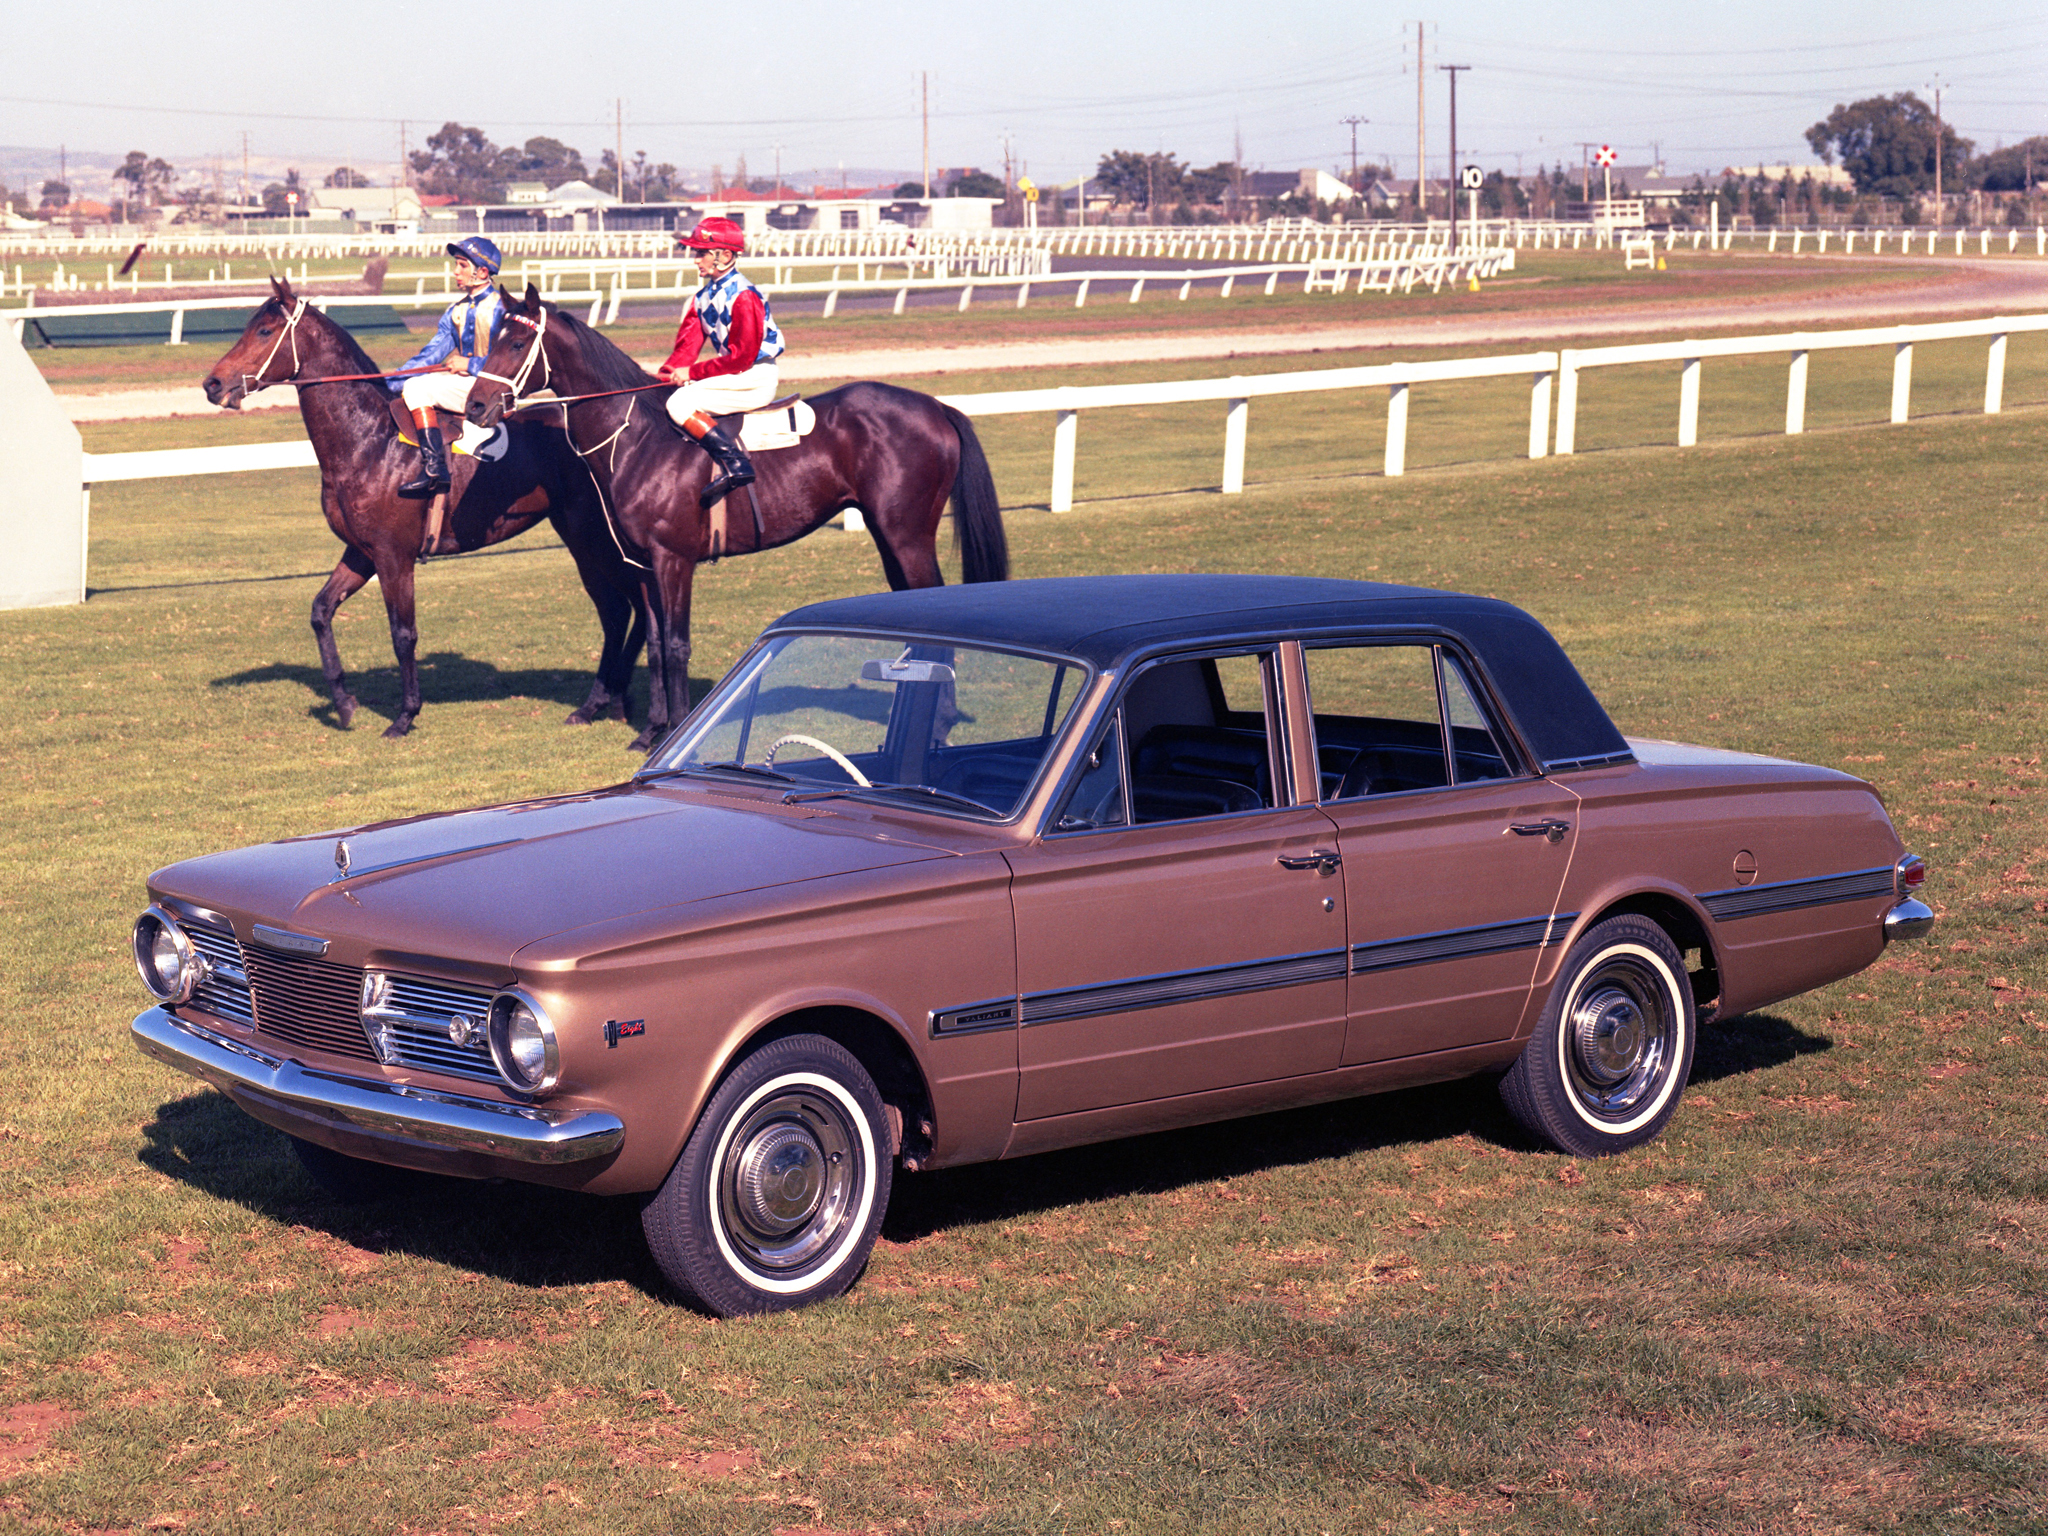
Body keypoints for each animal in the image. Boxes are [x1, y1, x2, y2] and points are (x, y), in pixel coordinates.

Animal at [197, 280, 647, 741]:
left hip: (590, 537)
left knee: (620, 610)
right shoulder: (362, 551)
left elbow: (403, 634)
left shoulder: (394, 556)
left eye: (265, 331)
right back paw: (615, 699)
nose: (212, 383)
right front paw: (344, 703)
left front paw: (405, 715)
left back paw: (600, 701)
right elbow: (321, 611)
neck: (370, 441)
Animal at [466, 286, 1007, 753]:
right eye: (493, 339)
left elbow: (677, 645)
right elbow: (656, 645)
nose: (474, 406)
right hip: (887, 534)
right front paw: (651, 731)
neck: (639, 440)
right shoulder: (645, 565)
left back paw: (938, 723)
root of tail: (935, 406)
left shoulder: (674, 560)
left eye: (516, 343)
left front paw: (672, 730)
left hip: (908, 535)